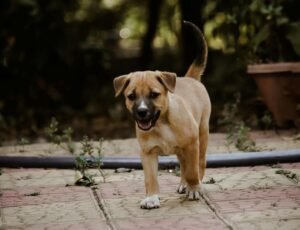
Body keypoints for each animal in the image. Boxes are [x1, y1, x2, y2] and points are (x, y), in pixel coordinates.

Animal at [113, 21, 210, 208]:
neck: (161, 124)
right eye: (131, 96)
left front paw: (194, 188)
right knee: (183, 165)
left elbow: (192, 170)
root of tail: (191, 78)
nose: (142, 112)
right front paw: (151, 198)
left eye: (154, 94)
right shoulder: (148, 153)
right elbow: (150, 179)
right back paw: (183, 184)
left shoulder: (192, 144)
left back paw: (195, 185)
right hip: (181, 149)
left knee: (199, 164)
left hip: (202, 135)